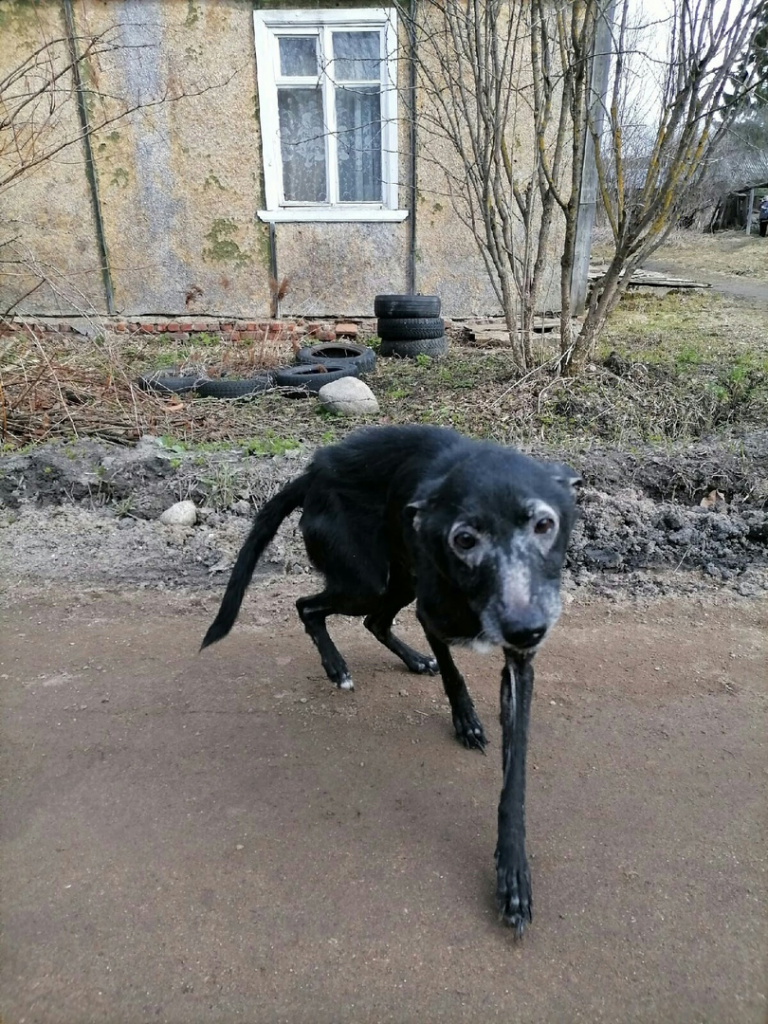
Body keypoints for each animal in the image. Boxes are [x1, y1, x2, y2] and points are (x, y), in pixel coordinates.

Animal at [201, 423, 581, 937]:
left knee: (374, 621)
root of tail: (316, 469)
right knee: (309, 607)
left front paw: (513, 874)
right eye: (465, 539)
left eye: (544, 525)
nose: (527, 629)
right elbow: (455, 677)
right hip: (367, 580)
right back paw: (337, 667)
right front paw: (466, 722)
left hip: (395, 580)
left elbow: (513, 778)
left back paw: (411, 661)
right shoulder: (432, 615)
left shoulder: (519, 665)